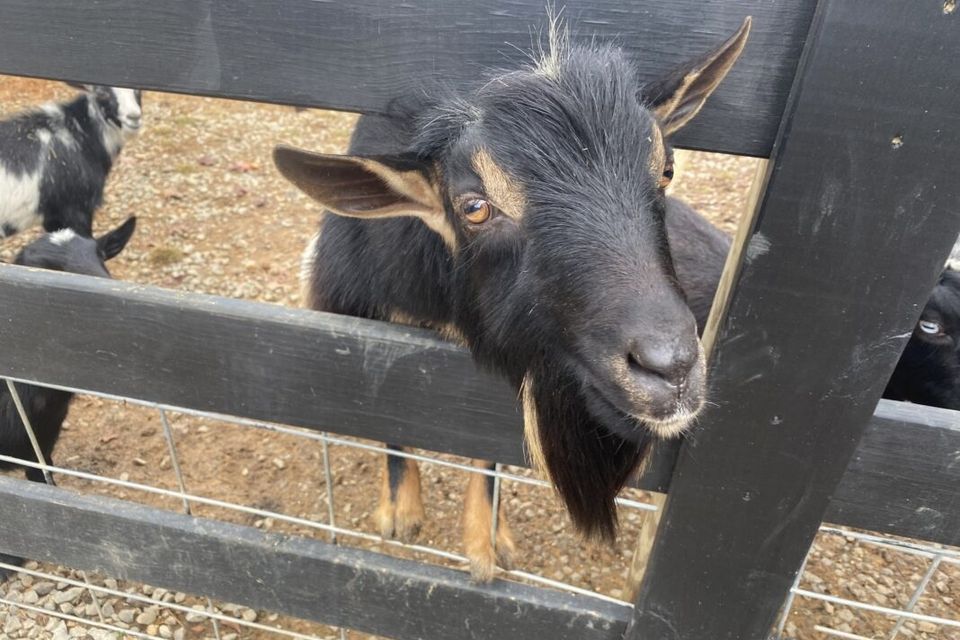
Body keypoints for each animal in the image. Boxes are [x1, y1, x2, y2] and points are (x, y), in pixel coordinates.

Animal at [275, 17, 751, 580]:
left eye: (667, 170)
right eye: (475, 207)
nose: (670, 366)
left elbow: (488, 448)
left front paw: (486, 543)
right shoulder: (381, 326)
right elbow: (391, 408)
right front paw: (402, 510)